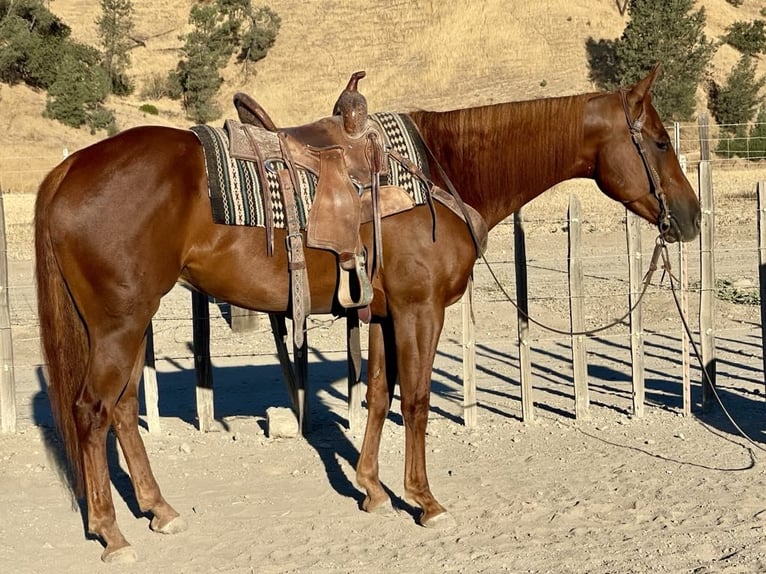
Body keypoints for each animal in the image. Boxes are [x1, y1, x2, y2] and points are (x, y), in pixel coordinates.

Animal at [34, 64, 700, 562]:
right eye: (660, 141)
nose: (691, 218)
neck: (443, 171)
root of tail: (69, 168)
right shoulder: (419, 311)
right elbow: (419, 400)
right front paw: (424, 501)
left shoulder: (381, 315)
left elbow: (379, 394)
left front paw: (372, 489)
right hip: (119, 324)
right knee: (92, 411)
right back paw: (112, 533)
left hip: (126, 322)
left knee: (122, 410)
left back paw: (159, 510)